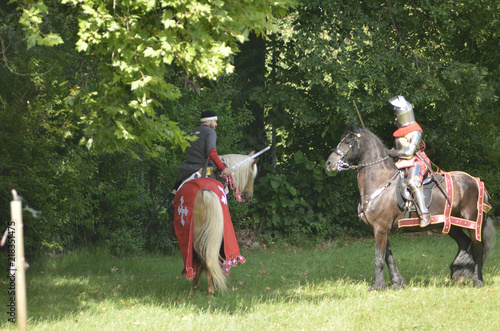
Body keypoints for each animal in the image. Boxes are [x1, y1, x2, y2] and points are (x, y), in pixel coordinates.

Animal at [326, 124, 494, 290]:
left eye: (348, 141)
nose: (329, 163)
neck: (380, 182)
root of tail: (476, 182)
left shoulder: (380, 229)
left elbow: (379, 259)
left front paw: (377, 286)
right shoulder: (381, 230)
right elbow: (389, 258)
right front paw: (397, 283)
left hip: (472, 223)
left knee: (477, 247)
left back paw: (477, 280)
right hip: (449, 224)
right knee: (464, 242)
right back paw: (457, 270)